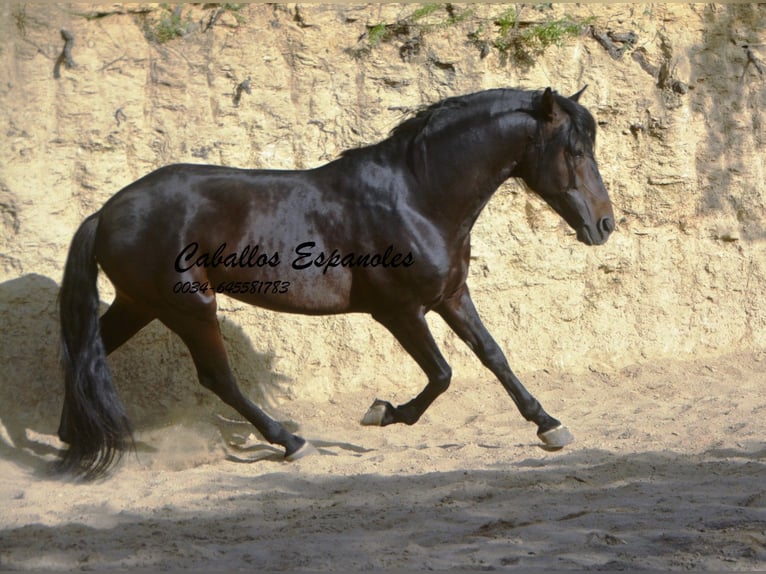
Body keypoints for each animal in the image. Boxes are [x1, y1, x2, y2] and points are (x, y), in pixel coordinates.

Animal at [57, 86, 616, 482]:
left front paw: (549, 425)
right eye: (574, 150)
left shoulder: (451, 297)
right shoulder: (399, 311)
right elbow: (442, 374)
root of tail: (106, 213)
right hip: (190, 307)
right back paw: (289, 441)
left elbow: (493, 356)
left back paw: (70, 438)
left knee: (84, 353)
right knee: (218, 378)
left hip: (140, 303)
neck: (416, 196)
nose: (604, 224)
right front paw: (383, 412)